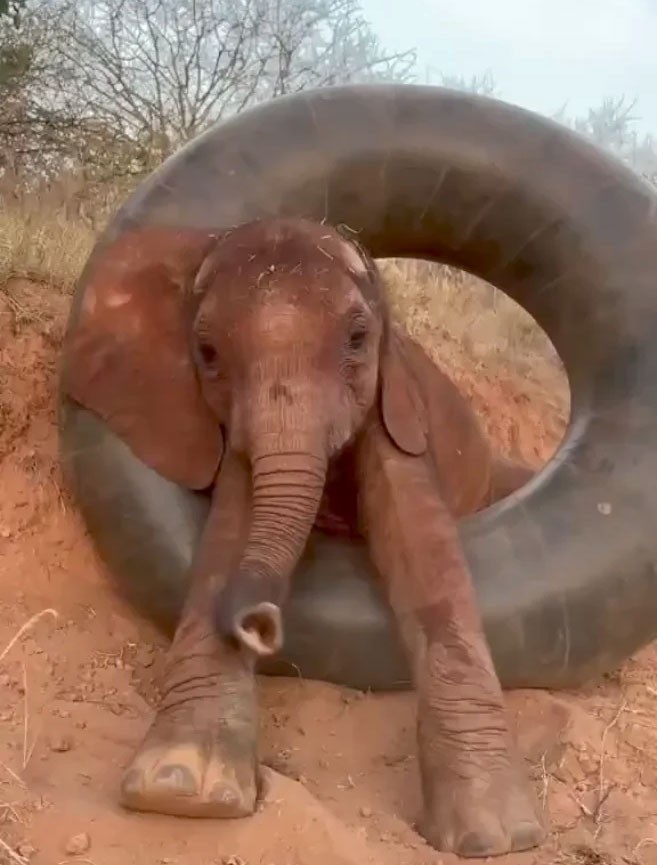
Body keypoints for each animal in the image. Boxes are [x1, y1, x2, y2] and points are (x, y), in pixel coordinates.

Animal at [64, 213, 544, 857]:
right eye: (207, 353)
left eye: (358, 339)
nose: (258, 623)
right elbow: (232, 523)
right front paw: (180, 789)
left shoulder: (397, 412)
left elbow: (422, 541)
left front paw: (496, 838)